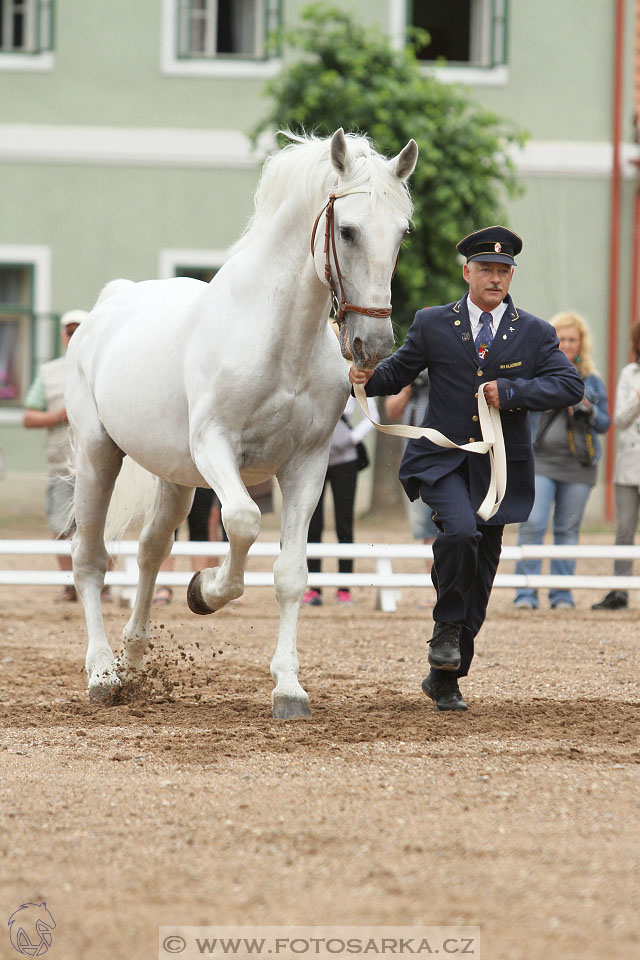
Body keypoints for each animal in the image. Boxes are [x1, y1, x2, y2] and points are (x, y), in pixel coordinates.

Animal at [63, 127, 416, 716]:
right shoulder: (216, 447)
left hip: (175, 477)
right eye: (347, 230)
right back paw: (102, 675)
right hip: (98, 455)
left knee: (151, 550)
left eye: (401, 234)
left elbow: (291, 574)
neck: (278, 338)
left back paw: (133, 662)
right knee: (90, 559)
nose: (375, 346)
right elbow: (245, 522)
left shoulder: (307, 464)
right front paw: (204, 591)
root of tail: (109, 305)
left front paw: (289, 688)